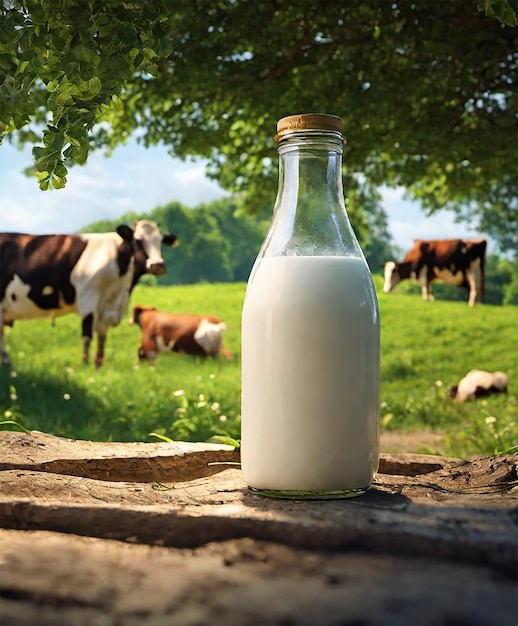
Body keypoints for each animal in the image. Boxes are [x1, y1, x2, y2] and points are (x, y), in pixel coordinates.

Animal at [0, 221, 179, 364]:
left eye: (160, 241)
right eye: (138, 241)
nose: (158, 265)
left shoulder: (107, 308)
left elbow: (102, 337)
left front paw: (98, 365)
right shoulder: (88, 296)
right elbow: (87, 334)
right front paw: (85, 365)